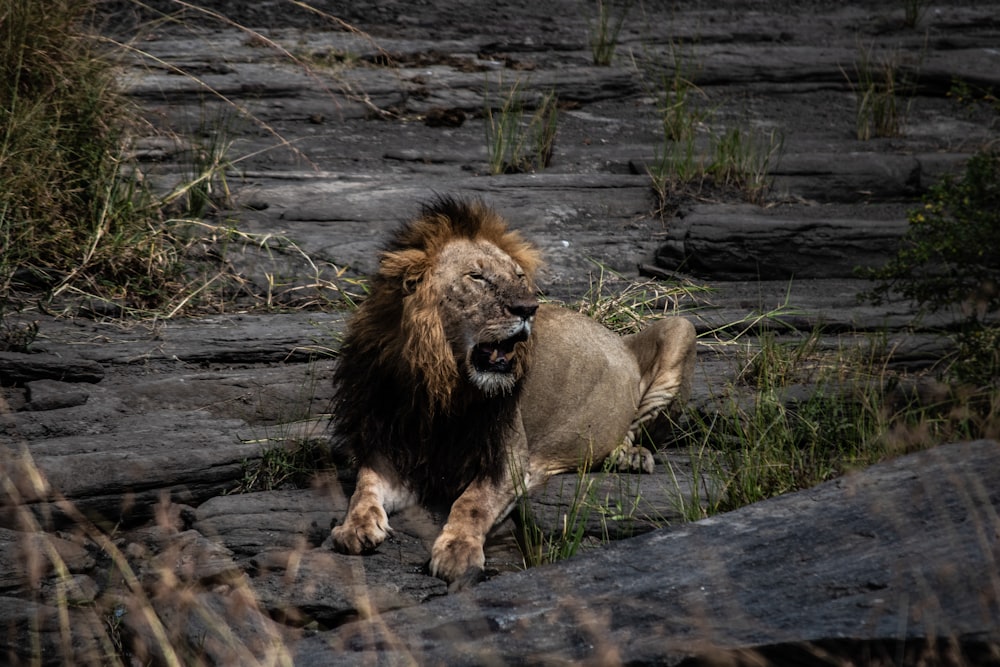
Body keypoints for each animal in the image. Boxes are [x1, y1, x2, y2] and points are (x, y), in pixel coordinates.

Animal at [332, 197, 692, 588]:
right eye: (477, 277)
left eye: (519, 277)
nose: (528, 308)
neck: (441, 382)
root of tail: (616, 335)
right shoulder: (396, 450)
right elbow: (365, 485)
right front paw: (354, 526)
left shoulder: (510, 458)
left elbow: (473, 501)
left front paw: (458, 550)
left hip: (681, 327)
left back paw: (628, 458)